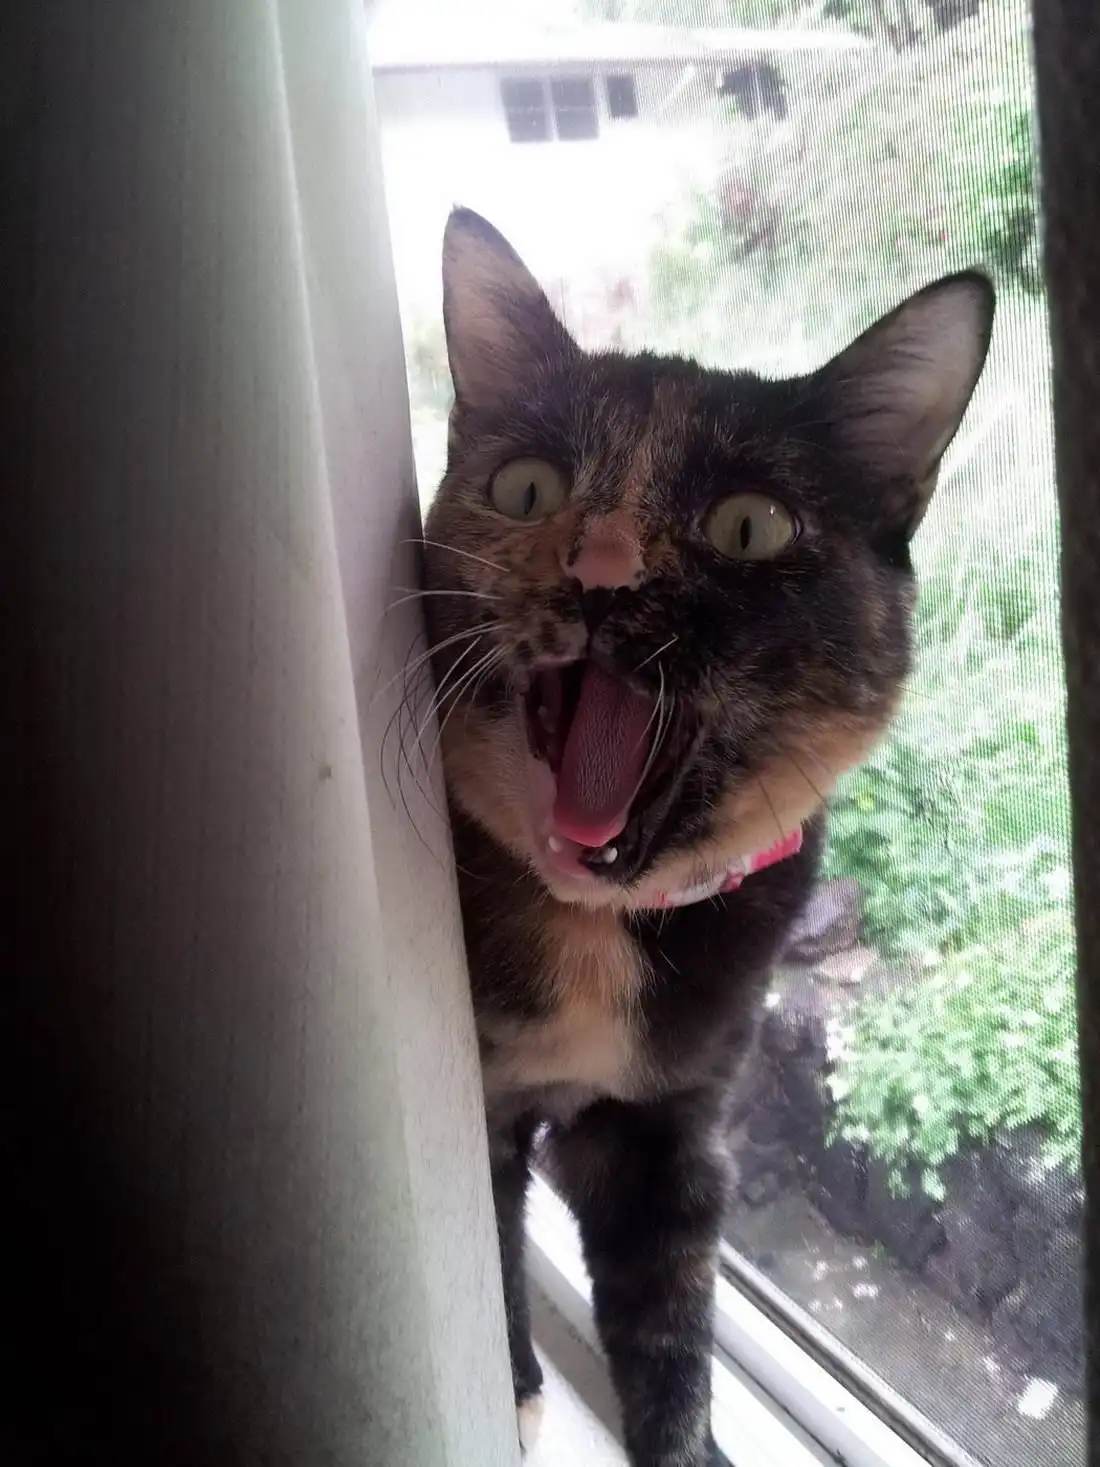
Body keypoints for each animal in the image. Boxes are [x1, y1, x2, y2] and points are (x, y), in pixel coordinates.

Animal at [418, 207, 993, 1467]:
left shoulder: (667, 1123)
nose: (598, 569)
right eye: (525, 486)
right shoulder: (479, 1106)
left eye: (747, 524)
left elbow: (670, 1321)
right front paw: (513, 1389)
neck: (592, 936)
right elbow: (487, 1255)